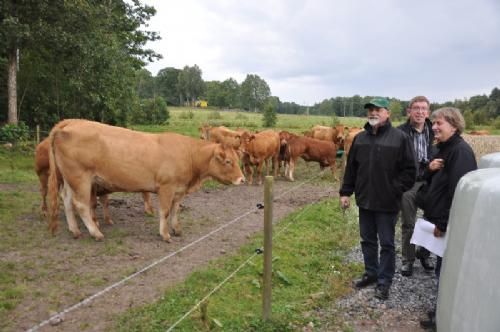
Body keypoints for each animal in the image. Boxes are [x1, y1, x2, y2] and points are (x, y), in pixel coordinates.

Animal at [48, 119, 244, 241]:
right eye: (228, 161)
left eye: (238, 159)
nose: (242, 179)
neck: (189, 154)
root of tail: (70, 122)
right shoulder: (166, 187)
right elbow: (165, 211)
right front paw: (165, 235)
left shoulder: (179, 190)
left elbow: (175, 210)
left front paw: (176, 229)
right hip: (80, 178)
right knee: (80, 204)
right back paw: (96, 233)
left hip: (69, 179)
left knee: (67, 200)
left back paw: (75, 230)